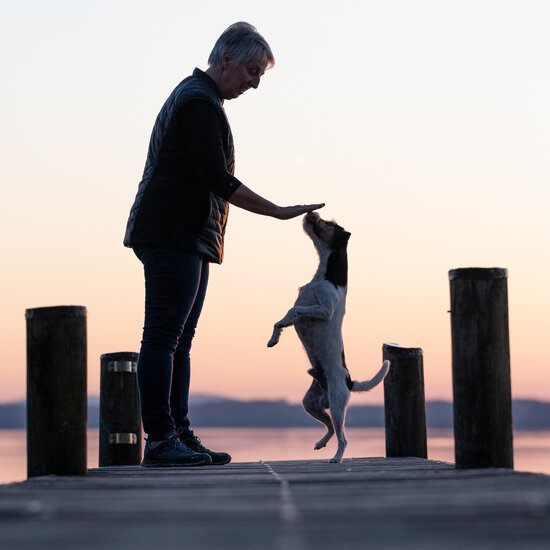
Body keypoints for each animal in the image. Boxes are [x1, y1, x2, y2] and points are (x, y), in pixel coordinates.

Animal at [268, 213, 390, 464]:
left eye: (330, 224)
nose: (310, 213)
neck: (326, 275)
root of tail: (349, 380)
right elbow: (285, 315)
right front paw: (274, 337)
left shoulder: (323, 310)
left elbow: (293, 310)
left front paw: (283, 325)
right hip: (311, 404)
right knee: (331, 428)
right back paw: (321, 443)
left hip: (336, 404)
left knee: (343, 436)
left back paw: (337, 457)